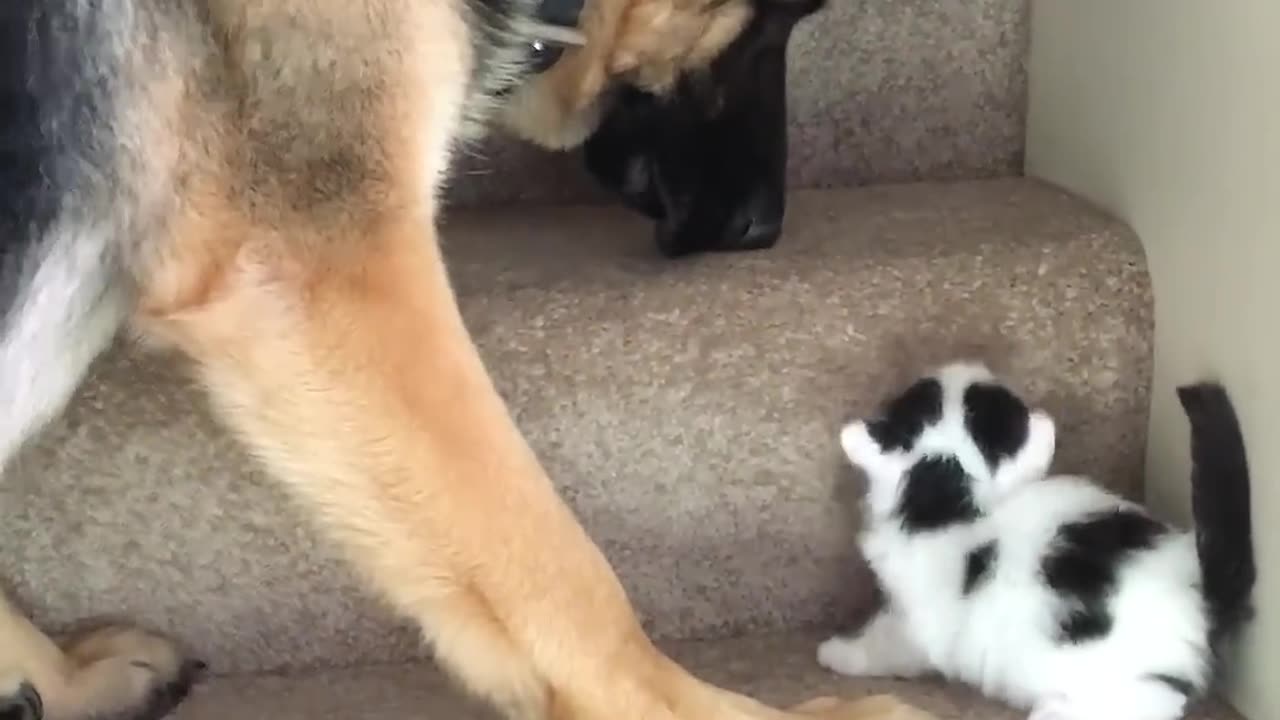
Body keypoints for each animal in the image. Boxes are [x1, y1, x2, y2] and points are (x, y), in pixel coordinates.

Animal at [819, 363, 1249, 717]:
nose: (972, 362)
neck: (946, 490)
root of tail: (1199, 590)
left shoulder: (915, 621)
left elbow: (884, 646)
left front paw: (838, 654)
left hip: (1112, 691)